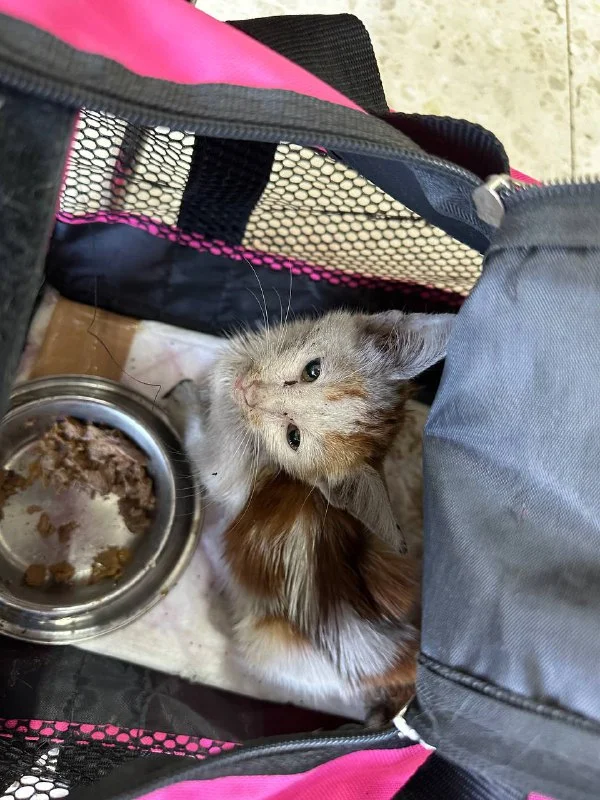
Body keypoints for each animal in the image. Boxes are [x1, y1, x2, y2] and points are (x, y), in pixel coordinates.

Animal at [165, 309, 453, 723]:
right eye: (312, 370)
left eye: (293, 437)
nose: (249, 392)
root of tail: (398, 663)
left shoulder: (227, 474)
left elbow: (199, 451)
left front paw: (184, 401)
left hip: (271, 648)